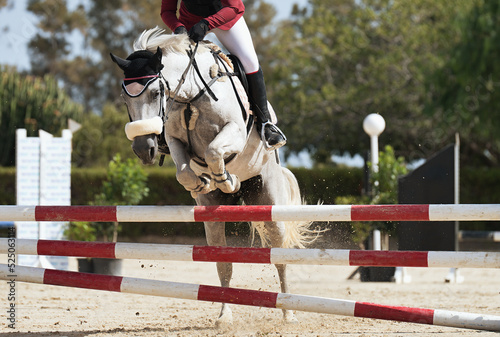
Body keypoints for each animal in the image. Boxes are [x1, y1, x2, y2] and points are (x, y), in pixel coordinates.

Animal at [112, 28, 314, 326]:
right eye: (126, 98)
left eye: (156, 92)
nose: (142, 148)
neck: (190, 96)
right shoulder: (173, 140)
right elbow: (184, 170)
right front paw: (201, 183)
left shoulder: (235, 132)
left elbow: (213, 150)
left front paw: (227, 180)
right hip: (214, 219)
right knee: (223, 263)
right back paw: (224, 315)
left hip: (270, 207)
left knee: (279, 257)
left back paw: (288, 313)